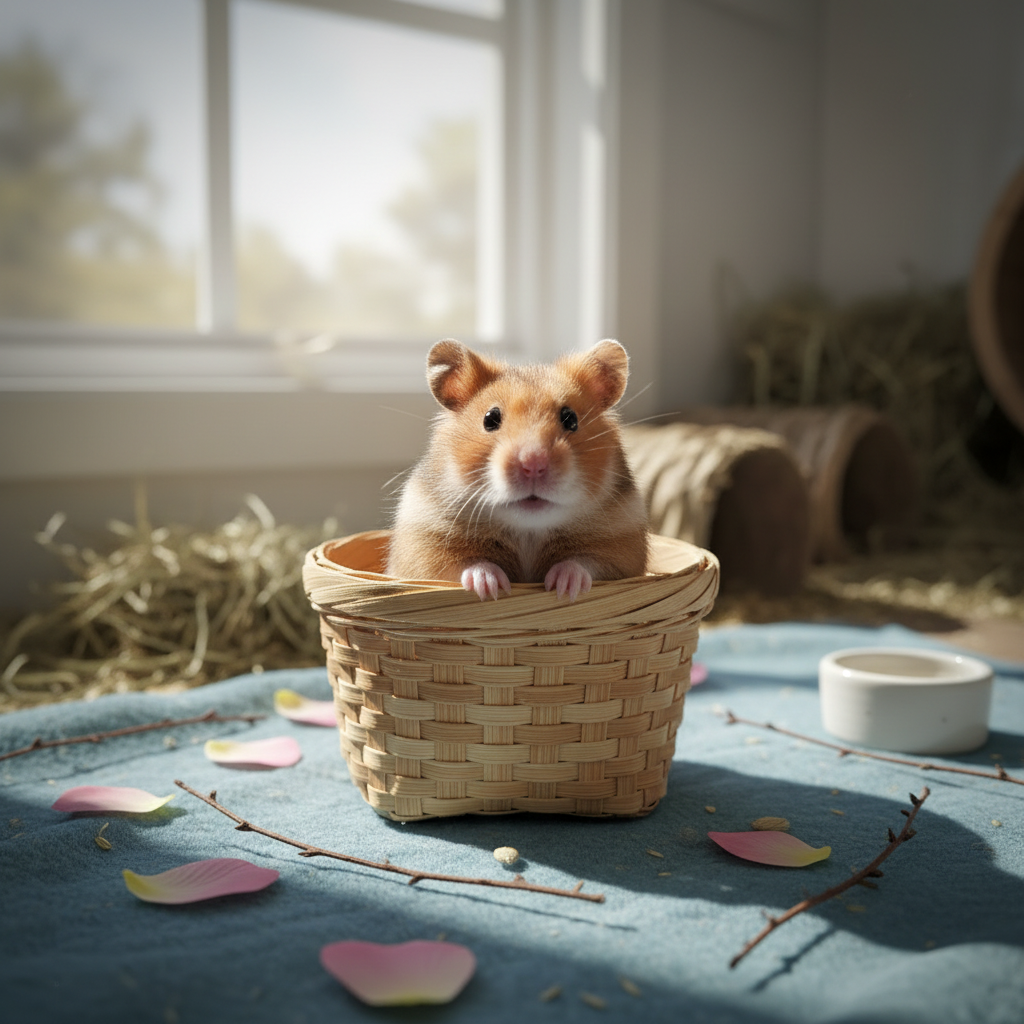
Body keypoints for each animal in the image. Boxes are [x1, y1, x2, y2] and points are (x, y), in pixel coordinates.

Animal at [386, 338, 649, 601]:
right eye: (490, 419)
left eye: (571, 419)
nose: (533, 464)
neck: (527, 532)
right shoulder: (421, 553)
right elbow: (464, 565)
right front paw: (491, 587)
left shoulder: (623, 553)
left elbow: (584, 563)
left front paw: (563, 587)